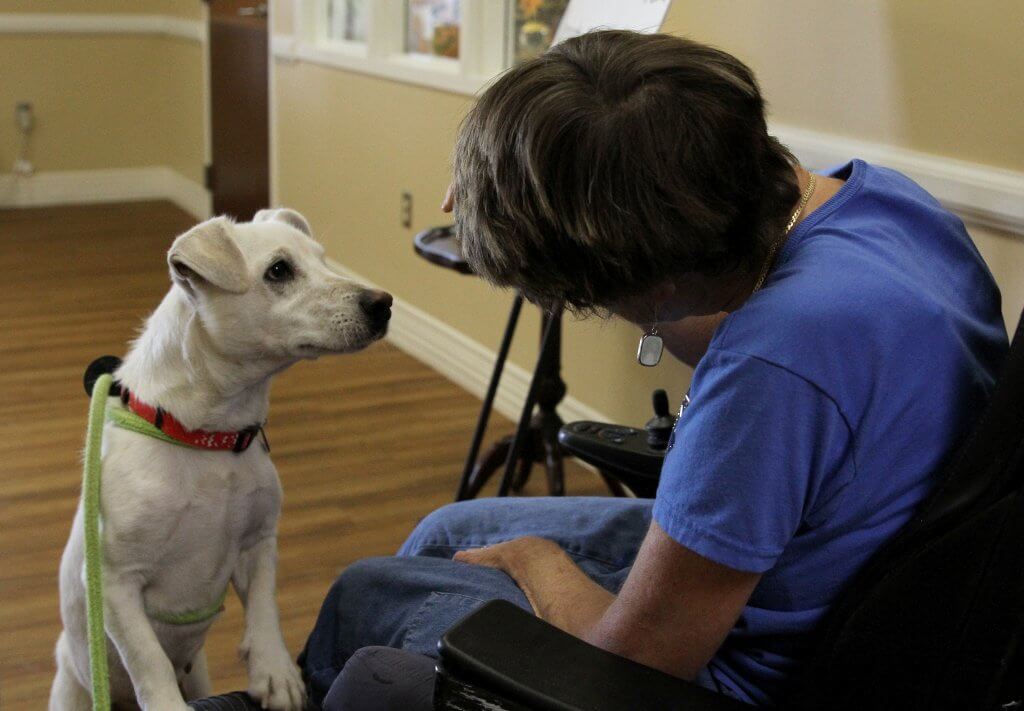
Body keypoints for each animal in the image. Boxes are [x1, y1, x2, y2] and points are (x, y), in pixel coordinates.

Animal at [48, 210, 391, 711]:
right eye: (279, 271)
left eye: (323, 260)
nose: (384, 303)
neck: (207, 437)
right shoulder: (114, 584)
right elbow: (149, 658)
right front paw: (167, 704)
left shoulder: (258, 543)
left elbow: (265, 610)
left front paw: (275, 674)